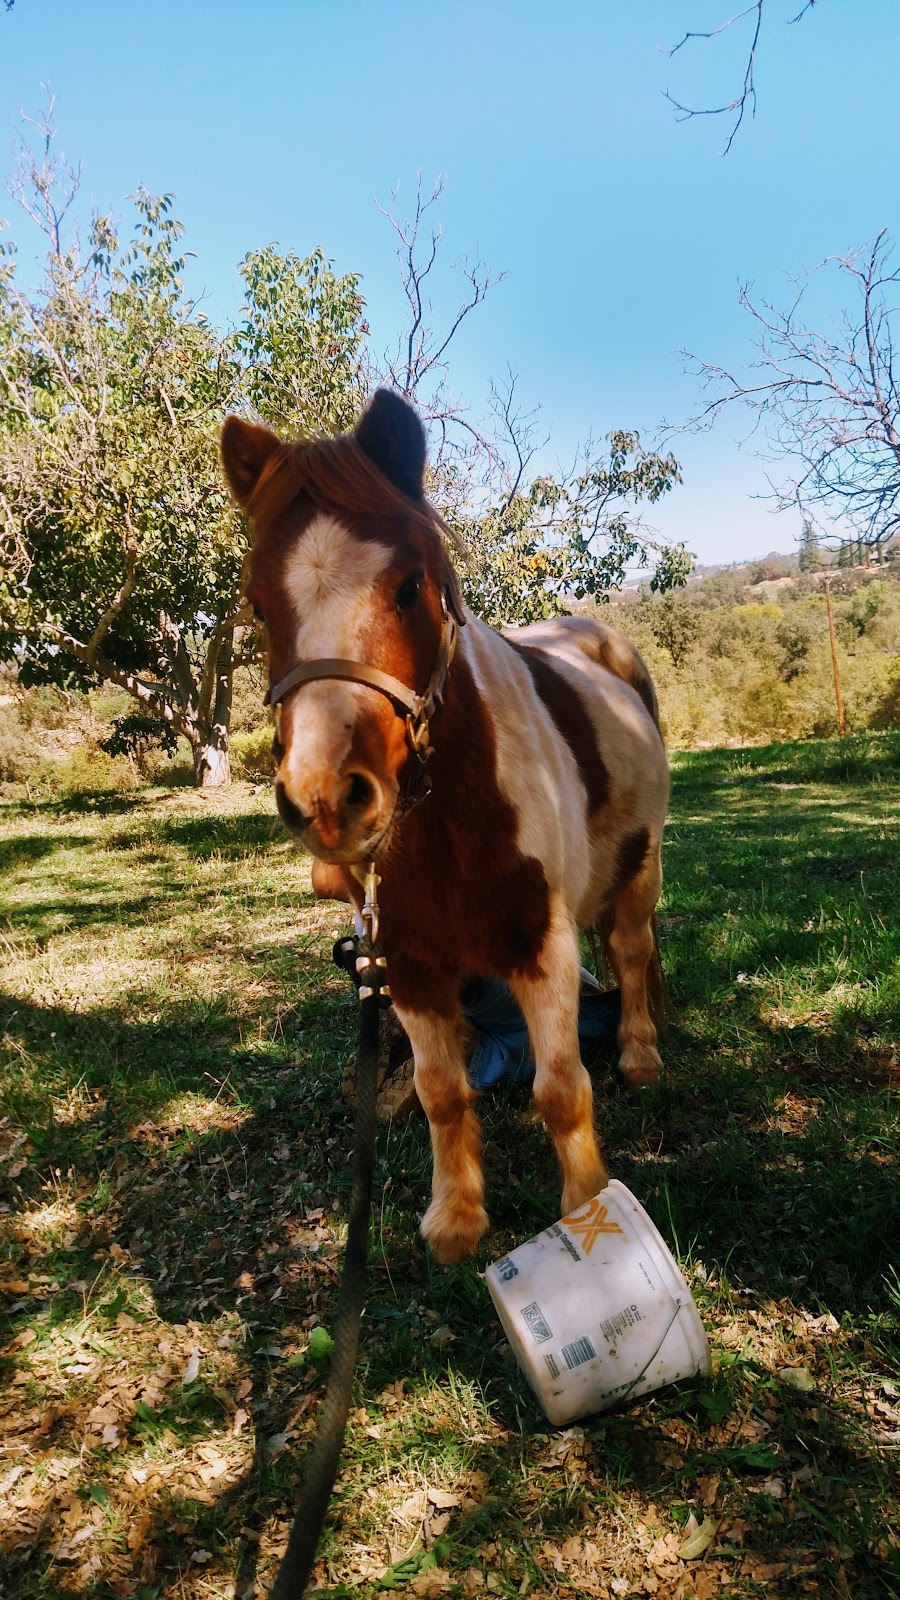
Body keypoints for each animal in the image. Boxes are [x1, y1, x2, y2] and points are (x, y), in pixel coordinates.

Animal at [219, 387, 666, 1260]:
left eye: (409, 585)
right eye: (257, 603)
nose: (326, 799)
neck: (450, 819)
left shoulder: (541, 945)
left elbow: (562, 1089)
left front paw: (586, 1209)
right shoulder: (412, 964)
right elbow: (440, 1092)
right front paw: (456, 1220)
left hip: (640, 866)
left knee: (631, 954)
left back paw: (638, 1055)